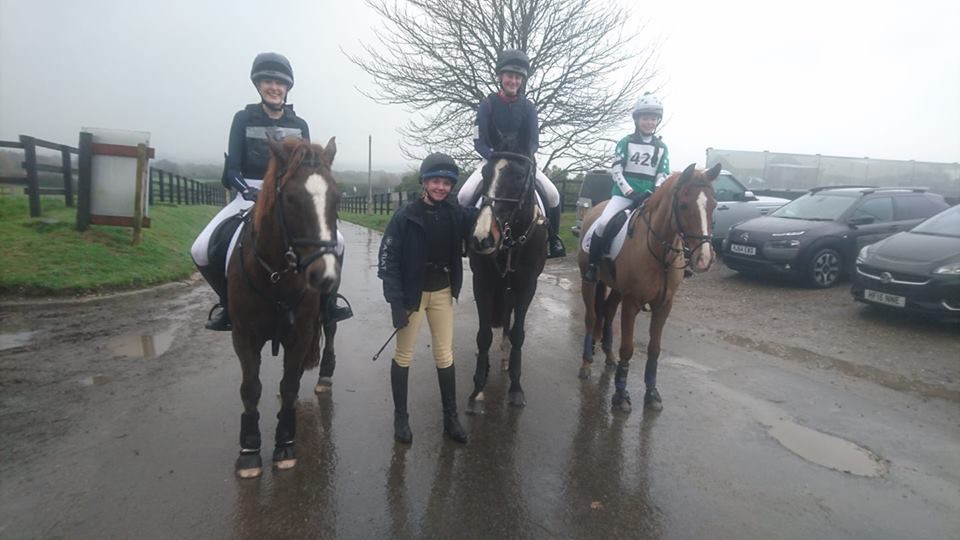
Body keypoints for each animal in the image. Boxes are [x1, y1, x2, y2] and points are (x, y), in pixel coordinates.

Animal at [226, 137, 341, 478]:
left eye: (338, 197)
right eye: (290, 199)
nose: (324, 275)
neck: (276, 274)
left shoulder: (300, 332)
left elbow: (289, 386)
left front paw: (286, 444)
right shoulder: (244, 336)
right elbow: (251, 388)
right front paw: (249, 450)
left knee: (330, 327)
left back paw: (325, 376)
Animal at [466, 151, 548, 414]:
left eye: (520, 176)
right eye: (484, 173)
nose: (482, 238)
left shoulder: (527, 286)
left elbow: (518, 333)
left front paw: (516, 388)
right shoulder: (482, 283)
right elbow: (483, 335)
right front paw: (477, 391)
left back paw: (505, 358)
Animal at [578, 163, 720, 412]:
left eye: (714, 205)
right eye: (683, 205)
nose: (704, 259)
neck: (659, 254)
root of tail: (595, 210)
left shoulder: (663, 305)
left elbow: (654, 349)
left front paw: (652, 392)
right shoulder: (632, 303)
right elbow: (628, 348)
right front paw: (621, 395)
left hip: (616, 289)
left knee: (607, 311)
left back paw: (608, 354)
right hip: (589, 281)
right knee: (591, 316)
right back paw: (586, 363)